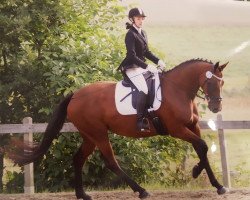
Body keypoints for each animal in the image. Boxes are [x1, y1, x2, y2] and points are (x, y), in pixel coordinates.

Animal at [5, 58, 229, 199]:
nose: (216, 107)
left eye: (222, 83)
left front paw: (214, 183)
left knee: (78, 159)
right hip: (99, 134)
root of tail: (75, 95)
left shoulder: (192, 126)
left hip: (89, 136)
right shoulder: (177, 129)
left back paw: (82, 195)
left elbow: (202, 148)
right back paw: (141, 191)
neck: (178, 90)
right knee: (111, 161)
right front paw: (202, 175)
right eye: (210, 82)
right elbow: (202, 146)